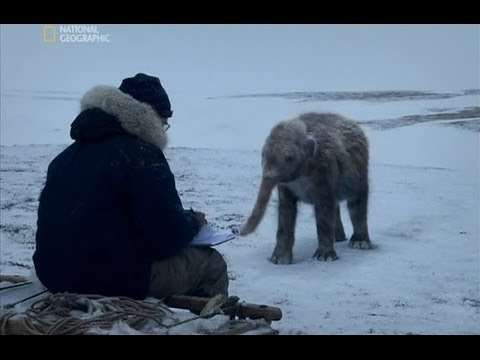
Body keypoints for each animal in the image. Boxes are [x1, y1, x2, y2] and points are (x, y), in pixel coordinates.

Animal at [242, 112, 374, 264]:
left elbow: (323, 209)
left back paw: (359, 244)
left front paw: (324, 258)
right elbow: (286, 210)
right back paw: (339, 239)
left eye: (289, 157)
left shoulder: (325, 169)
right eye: (262, 154)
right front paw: (279, 260)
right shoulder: (286, 186)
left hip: (359, 169)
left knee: (356, 202)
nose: (235, 230)